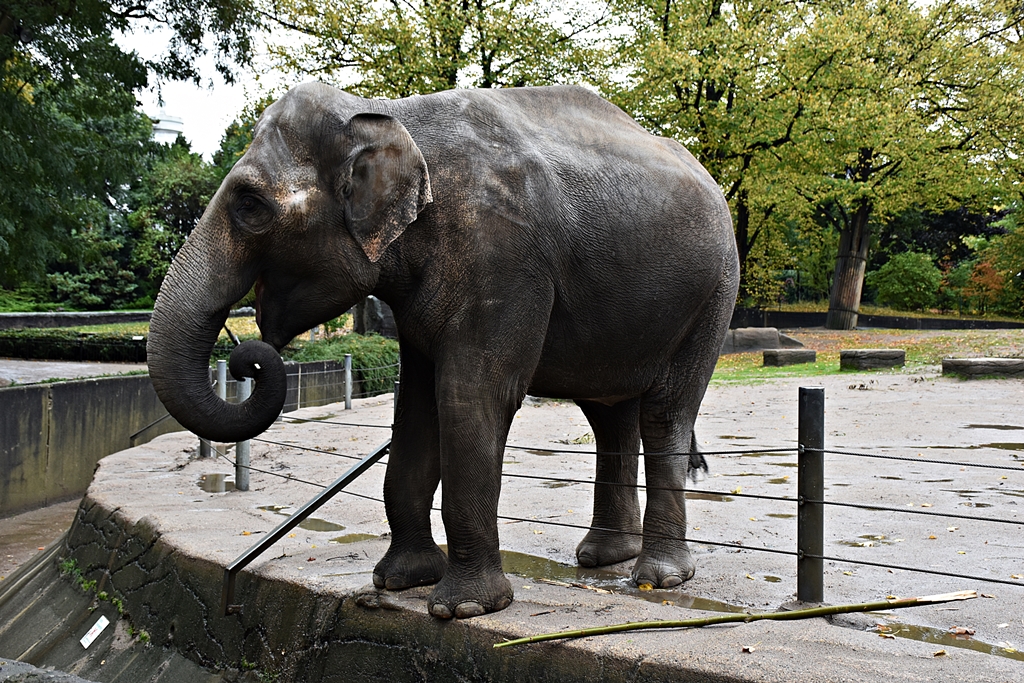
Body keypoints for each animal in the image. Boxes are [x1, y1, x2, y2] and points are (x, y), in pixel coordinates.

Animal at [147, 82, 740, 620]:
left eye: (250, 206)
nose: (247, 353)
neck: (385, 113)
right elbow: (416, 405)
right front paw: (399, 581)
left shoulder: (502, 257)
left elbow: (471, 396)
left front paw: (464, 608)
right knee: (609, 415)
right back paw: (603, 557)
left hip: (714, 294)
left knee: (665, 412)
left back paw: (659, 578)